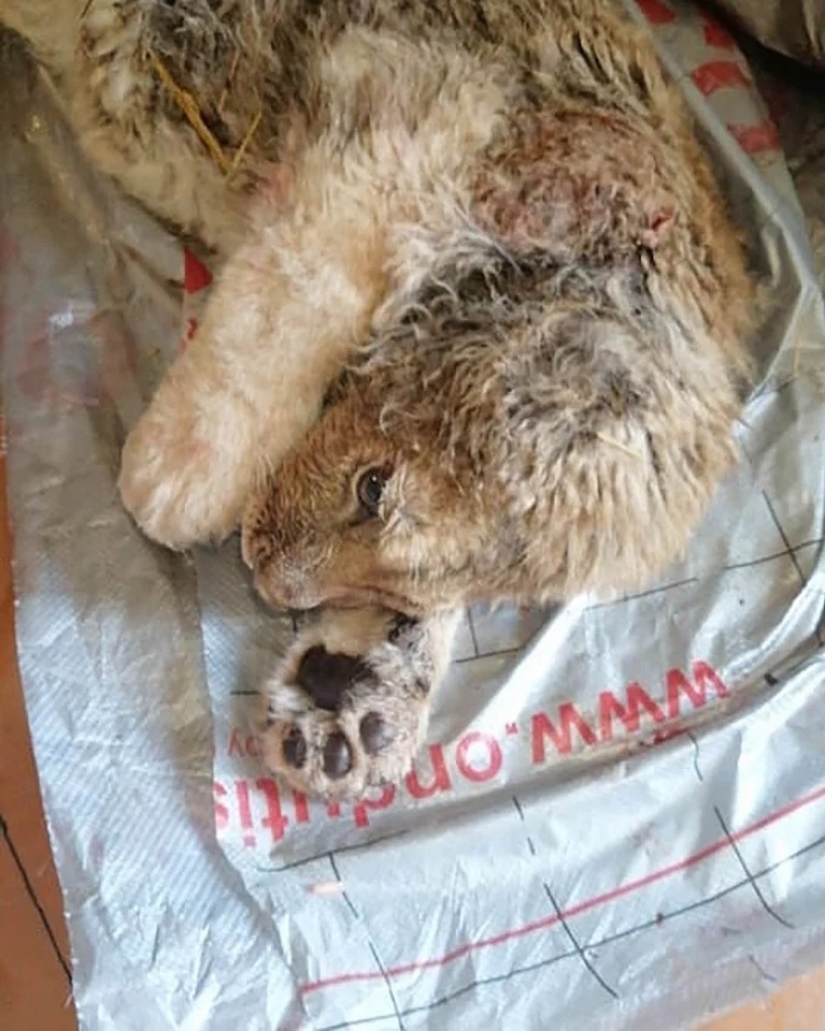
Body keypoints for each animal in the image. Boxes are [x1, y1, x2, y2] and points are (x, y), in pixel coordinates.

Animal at [2, 0, 755, 799]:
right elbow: (303, 287)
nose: (265, 580)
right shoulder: (403, 128)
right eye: (371, 487)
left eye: (414, 587)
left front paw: (357, 694)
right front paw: (184, 468)